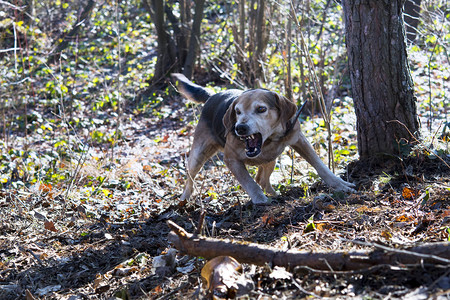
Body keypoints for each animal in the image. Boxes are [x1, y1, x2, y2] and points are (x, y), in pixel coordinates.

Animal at [172, 73, 356, 204]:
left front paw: (339, 184)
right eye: (237, 112)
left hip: (271, 158)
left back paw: (275, 194)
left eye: (261, 109)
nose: (239, 128)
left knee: (262, 178)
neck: (270, 140)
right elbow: (249, 182)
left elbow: (320, 166)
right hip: (198, 155)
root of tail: (213, 95)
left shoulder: (299, 140)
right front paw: (260, 200)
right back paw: (183, 202)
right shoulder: (231, 158)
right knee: (189, 180)